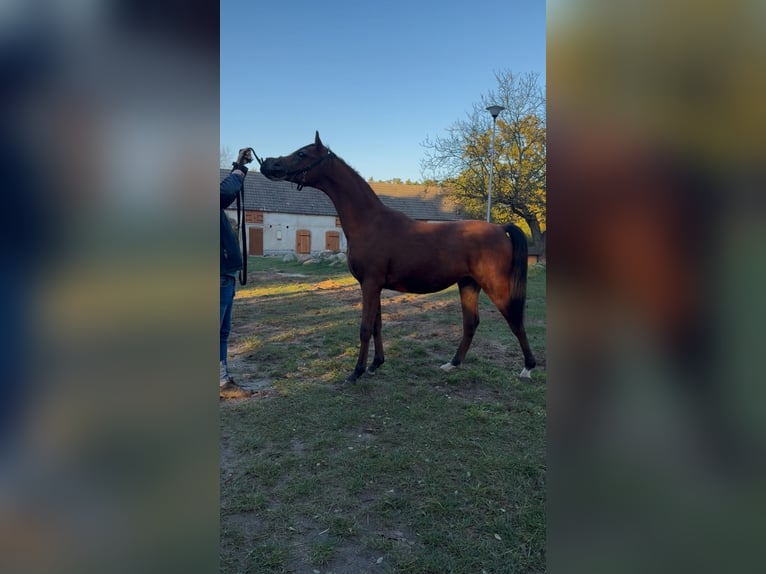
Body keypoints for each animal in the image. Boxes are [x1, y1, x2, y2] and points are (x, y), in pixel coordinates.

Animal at [260, 131, 536, 383]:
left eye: (302, 154)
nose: (268, 164)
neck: (370, 223)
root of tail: (500, 229)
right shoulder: (374, 286)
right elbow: (377, 325)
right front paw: (375, 365)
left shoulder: (371, 284)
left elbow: (364, 329)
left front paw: (356, 372)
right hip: (468, 284)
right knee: (471, 323)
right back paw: (452, 364)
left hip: (495, 285)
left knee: (515, 319)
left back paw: (528, 368)